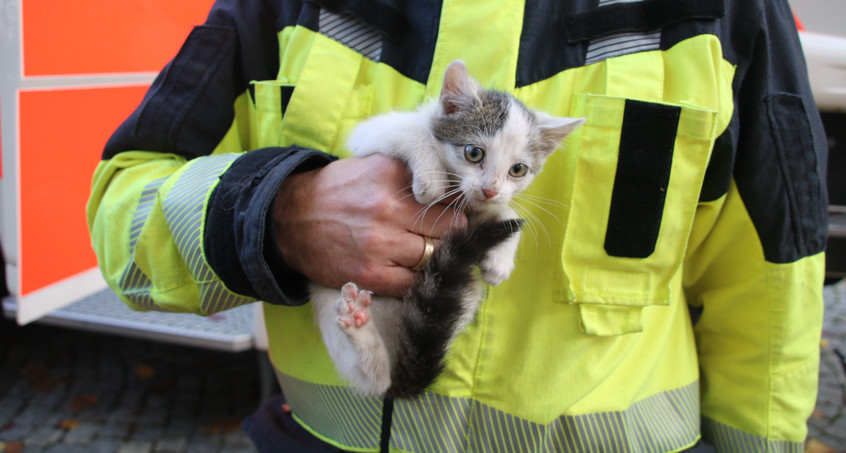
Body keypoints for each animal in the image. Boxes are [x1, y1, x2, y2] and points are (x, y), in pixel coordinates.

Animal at [310, 61, 584, 400]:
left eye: (518, 170)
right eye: (473, 153)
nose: (490, 189)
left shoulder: (474, 212)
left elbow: (503, 212)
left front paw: (500, 261)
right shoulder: (370, 135)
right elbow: (410, 131)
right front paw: (431, 178)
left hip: (460, 295)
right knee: (376, 382)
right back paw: (360, 334)